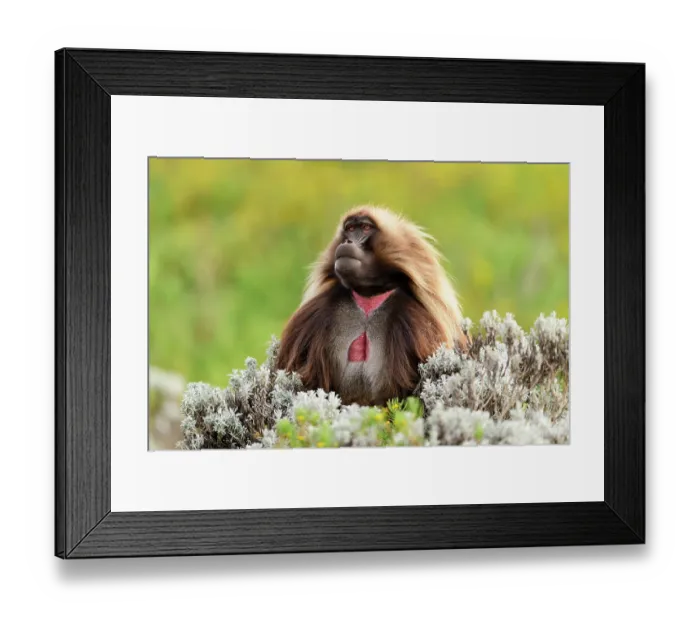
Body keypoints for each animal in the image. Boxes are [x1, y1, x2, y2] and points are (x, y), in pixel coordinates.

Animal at [276, 206, 468, 407]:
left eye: (366, 228)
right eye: (350, 229)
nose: (347, 241)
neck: (368, 299)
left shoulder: (418, 323)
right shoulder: (313, 316)